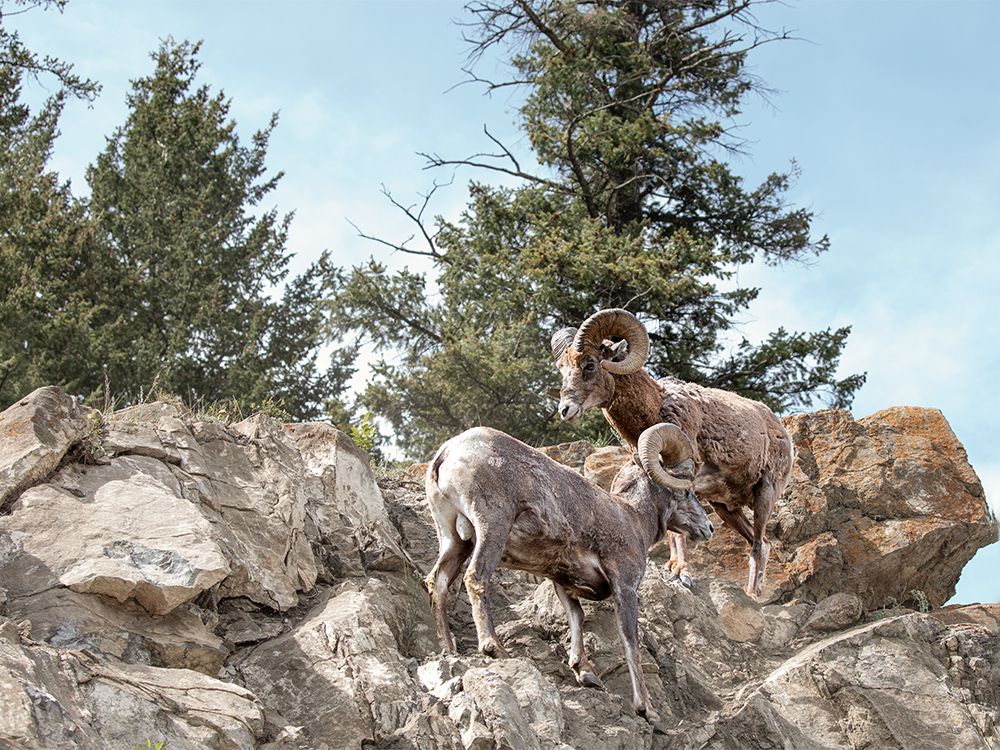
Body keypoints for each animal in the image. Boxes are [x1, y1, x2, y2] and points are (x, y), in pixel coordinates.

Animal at [426, 426, 716, 724]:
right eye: (685, 490)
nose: (709, 528)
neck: (632, 517)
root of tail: (448, 452)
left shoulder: (562, 582)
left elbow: (577, 617)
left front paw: (585, 673)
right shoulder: (625, 587)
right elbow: (630, 643)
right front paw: (648, 710)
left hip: (454, 541)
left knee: (438, 583)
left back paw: (449, 650)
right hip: (491, 527)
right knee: (476, 578)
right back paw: (495, 648)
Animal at [552, 306, 792, 600]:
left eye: (590, 364)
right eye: (563, 369)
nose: (565, 410)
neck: (657, 406)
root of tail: (779, 429)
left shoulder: (686, 471)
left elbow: (678, 529)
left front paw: (683, 574)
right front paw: (675, 569)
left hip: (765, 494)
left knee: (758, 544)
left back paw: (752, 595)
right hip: (726, 507)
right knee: (762, 542)